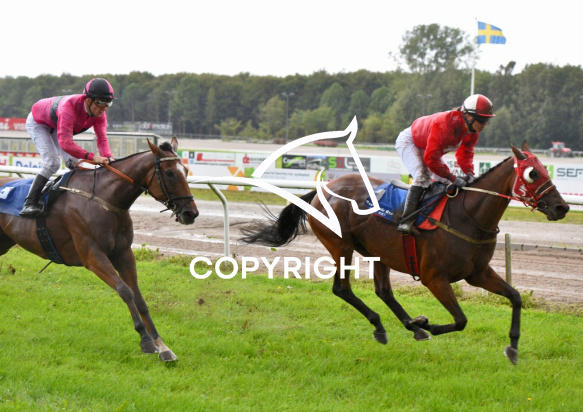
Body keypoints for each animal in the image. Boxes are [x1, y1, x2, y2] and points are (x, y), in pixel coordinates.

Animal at [0, 137, 198, 361]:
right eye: (170, 173)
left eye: (186, 170)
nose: (191, 213)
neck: (105, 199)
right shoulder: (92, 256)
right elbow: (125, 291)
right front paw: (146, 341)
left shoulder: (124, 254)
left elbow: (139, 298)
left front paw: (162, 346)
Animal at [241, 142, 569, 364]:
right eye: (532, 173)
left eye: (545, 169)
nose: (562, 207)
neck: (468, 216)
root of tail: (323, 188)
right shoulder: (435, 277)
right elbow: (461, 320)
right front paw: (429, 324)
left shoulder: (477, 273)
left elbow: (515, 297)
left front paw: (513, 347)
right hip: (341, 245)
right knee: (342, 289)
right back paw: (389, 325)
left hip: (379, 252)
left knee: (383, 291)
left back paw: (408, 325)